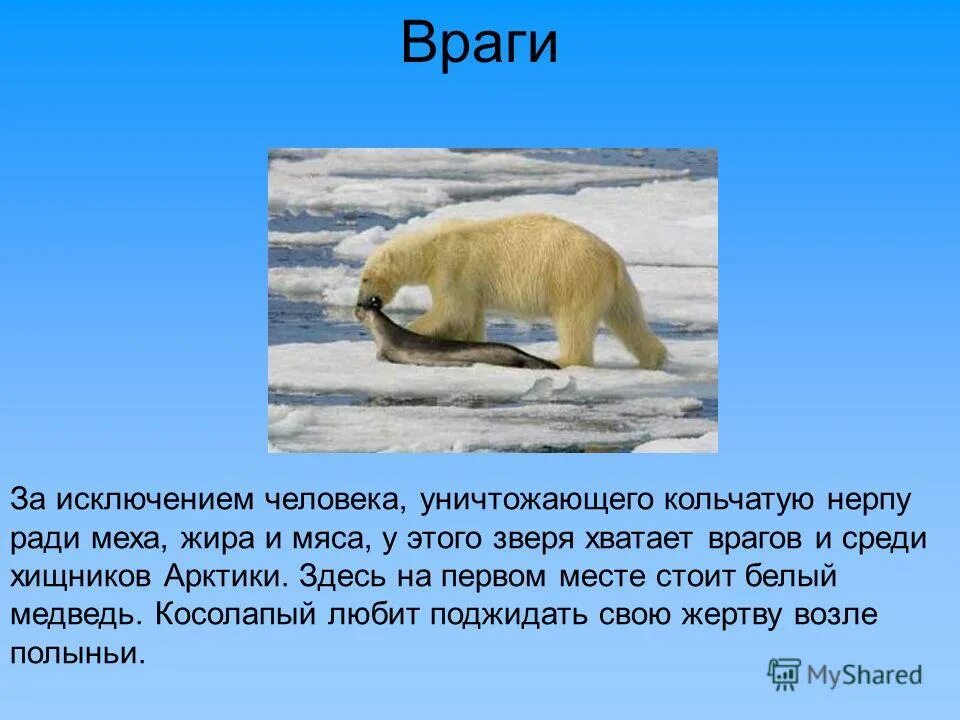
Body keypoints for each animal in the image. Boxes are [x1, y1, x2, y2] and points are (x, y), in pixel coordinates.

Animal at [355, 213, 667, 369]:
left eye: (365, 278)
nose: (360, 306)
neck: (432, 245)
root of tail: (611, 258)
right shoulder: (470, 282)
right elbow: (471, 318)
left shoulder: (454, 267)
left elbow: (453, 313)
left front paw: (411, 332)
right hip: (617, 286)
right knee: (629, 318)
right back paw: (655, 358)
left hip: (573, 277)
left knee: (574, 321)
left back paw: (563, 359)